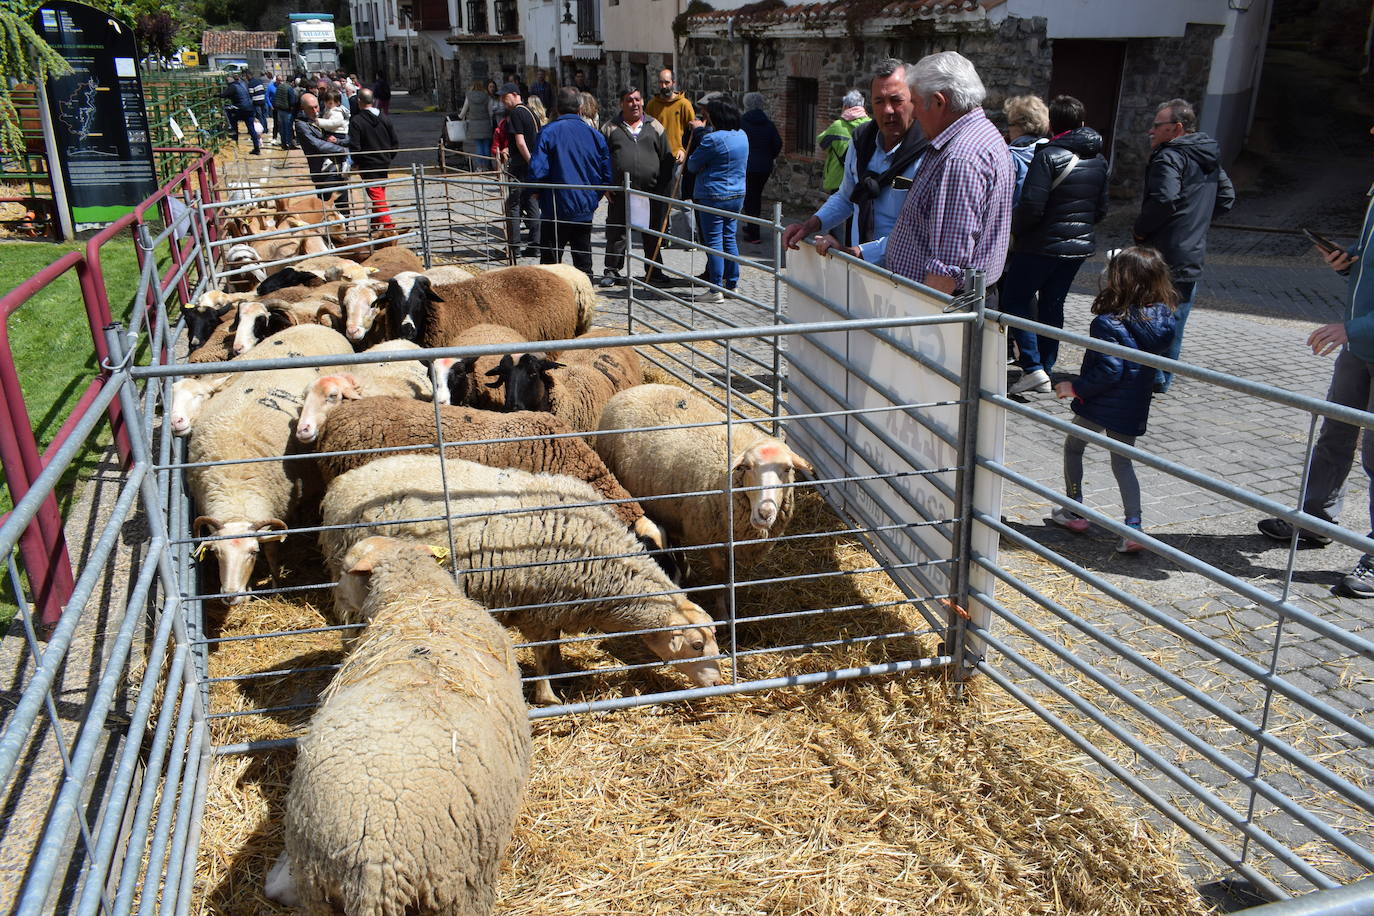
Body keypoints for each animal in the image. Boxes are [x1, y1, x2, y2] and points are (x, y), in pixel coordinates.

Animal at [263, 538, 530, 916]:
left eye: (345, 569)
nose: (335, 600)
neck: (417, 595)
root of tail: (375, 866)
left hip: (318, 892)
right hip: (460, 885)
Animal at [317, 455, 725, 708]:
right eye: (695, 645)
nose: (718, 683)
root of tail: (341, 487)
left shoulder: (554, 607)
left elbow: (553, 649)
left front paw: (561, 674)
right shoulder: (538, 607)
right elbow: (542, 656)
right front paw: (548, 697)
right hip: (351, 582)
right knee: (349, 631)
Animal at [593, 384, 807, 585]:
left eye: (788, 468)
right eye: (747, 467)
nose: (765, 513)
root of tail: (638, 388)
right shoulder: (707, 536)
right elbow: (720, 572)